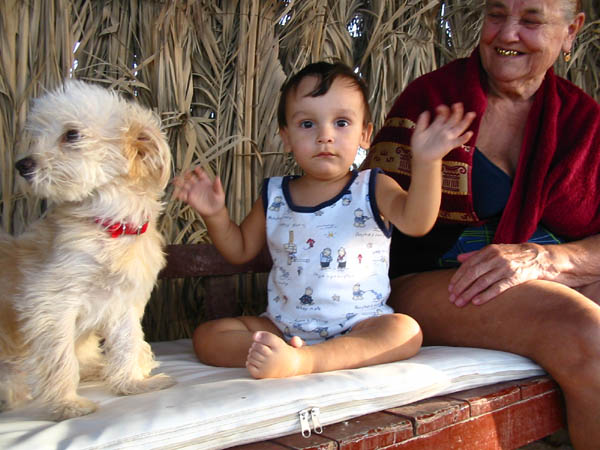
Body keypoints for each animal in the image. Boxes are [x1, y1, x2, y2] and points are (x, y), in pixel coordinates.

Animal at [0, 81, 175, 420]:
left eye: (72, 134)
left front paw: (131, 383)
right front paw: (68, 404)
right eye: (38, 135)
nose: (21, 165)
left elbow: (126, 345)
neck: (109, 225)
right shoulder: (51, 304)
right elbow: (60, 359)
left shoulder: (124, 304)